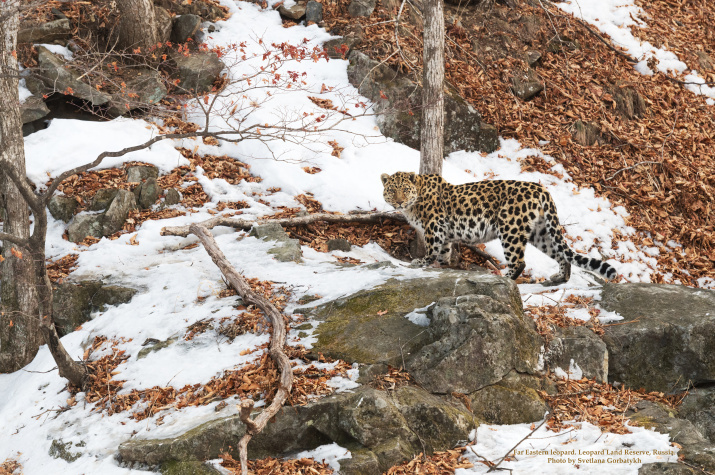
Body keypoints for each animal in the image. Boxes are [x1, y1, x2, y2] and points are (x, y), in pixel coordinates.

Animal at [384, 170, 620, 282]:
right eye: (392, 190)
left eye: (405, 190)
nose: (399, 202)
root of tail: (541, 189)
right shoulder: (444, 234)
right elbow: (443, 253)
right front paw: (445, 267)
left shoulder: (434, 226)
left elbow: (432, 250)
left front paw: (420, 262)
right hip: (540, 232)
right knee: (562, 254)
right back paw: (560, 277)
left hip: (510, 229)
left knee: (519, 262)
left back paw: (504, 279)